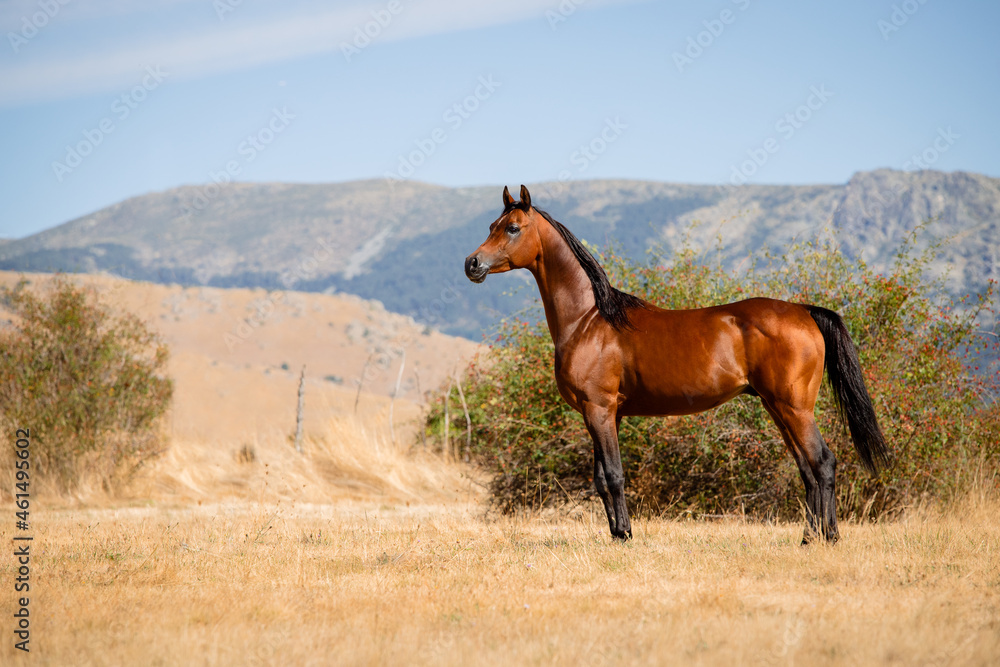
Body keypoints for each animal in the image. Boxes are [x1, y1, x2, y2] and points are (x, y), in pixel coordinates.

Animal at [464, 185, 889, 543]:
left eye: (513, 228)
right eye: (491, 226)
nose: (472, 264)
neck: (590, 320)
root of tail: (804, 311)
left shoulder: (599, 409)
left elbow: (614, 475)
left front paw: (625, 536)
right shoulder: (603, 414)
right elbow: (601, 478)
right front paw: (616, 534)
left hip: (794, 407)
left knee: (823, 462)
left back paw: (825, 538)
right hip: (777, 407)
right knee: (807, 469)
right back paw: (810, 537)